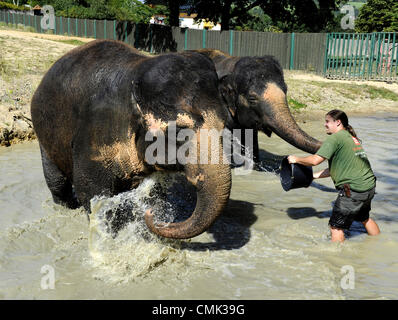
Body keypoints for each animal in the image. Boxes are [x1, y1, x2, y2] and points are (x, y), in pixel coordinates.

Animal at [31, 40, 233, 239]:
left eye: (224, 125)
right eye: (179, 131)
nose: (150, 215)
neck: (136, 74)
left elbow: (154, 193)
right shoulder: (95, 131)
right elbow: (90, 190)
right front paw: (109, 237)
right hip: (43, 131)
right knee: (57, 181)